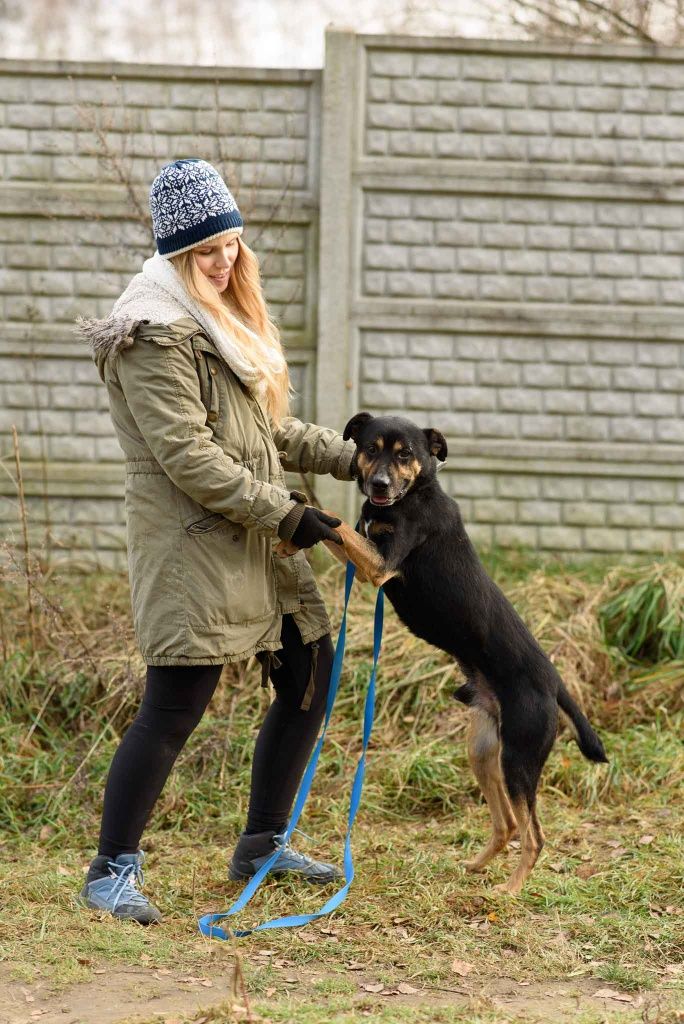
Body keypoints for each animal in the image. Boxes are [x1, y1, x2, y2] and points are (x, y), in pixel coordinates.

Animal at [317, 411, 610, 892]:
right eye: (371, 448)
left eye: (405, 454)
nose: (379, 484)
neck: (412, 495)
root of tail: (554, 684)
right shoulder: (368, 559)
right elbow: (341, 533)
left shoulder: (381, 565)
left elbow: (337, 524)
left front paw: (301, 503)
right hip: (485, 750)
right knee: (507, 824)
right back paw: (477, 867)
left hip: (520, 758)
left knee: (534, 835)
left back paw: (509, 890)